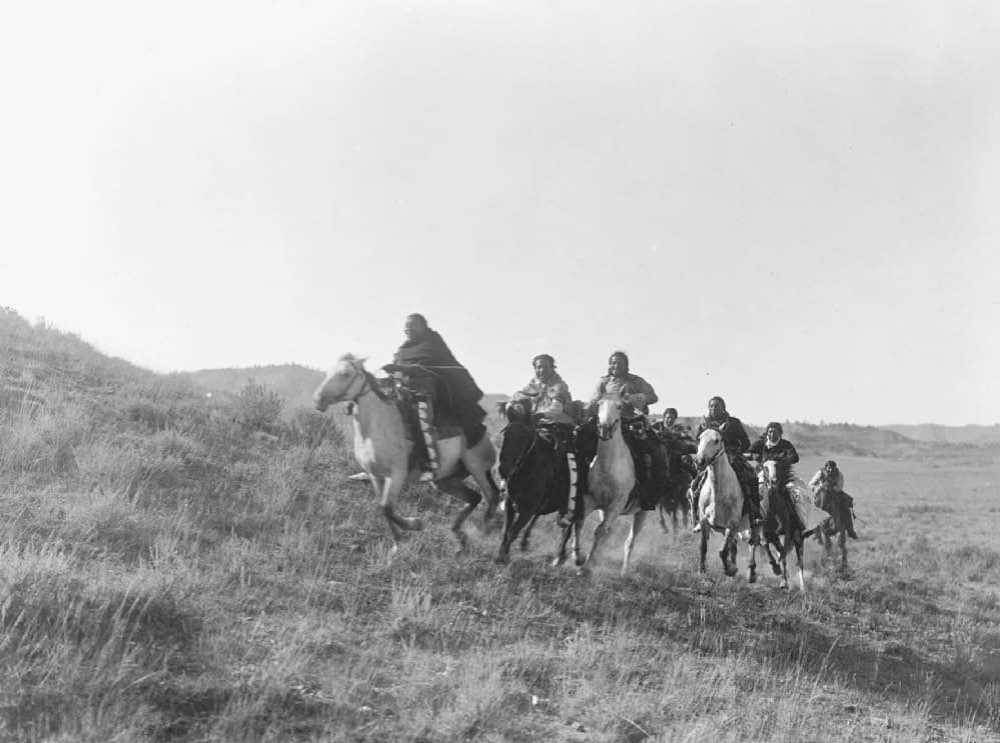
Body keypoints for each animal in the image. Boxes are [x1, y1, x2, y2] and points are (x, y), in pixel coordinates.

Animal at [312, 358, 500, 556]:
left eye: (346, 374)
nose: (318, 400)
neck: (377, 426)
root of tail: (484, 433)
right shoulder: (375, 476)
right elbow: (383, 507)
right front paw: (397, 543)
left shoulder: (396, 474)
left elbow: (386, 507)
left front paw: (414, 524)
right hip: (445, 480)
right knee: (474, 498)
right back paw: (459, 538)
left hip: (477, 468)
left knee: (492, 495)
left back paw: (485, 533)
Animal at [560, 392, 644, 580]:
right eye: (598, 404)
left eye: (619, 406)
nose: (605, 427)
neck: (608, 467)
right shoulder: (590, 500)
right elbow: (579, 523)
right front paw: (578, 558)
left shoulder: (616, 505)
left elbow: (599, 531)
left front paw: (586, 567)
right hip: (603, 511)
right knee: (608, 531)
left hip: (642, 512)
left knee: (629, 540)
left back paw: (624, 571)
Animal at [696, 430, 756, 580]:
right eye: (699, 438)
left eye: (717, 440)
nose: (699, 461)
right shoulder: (704, 521)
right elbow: (703, 547)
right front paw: (702, 570)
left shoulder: (732, 524)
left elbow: (722, 551)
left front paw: (730, 570)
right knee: (733, 546)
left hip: (754, 524)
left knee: (753, 543)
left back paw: (750, 572)